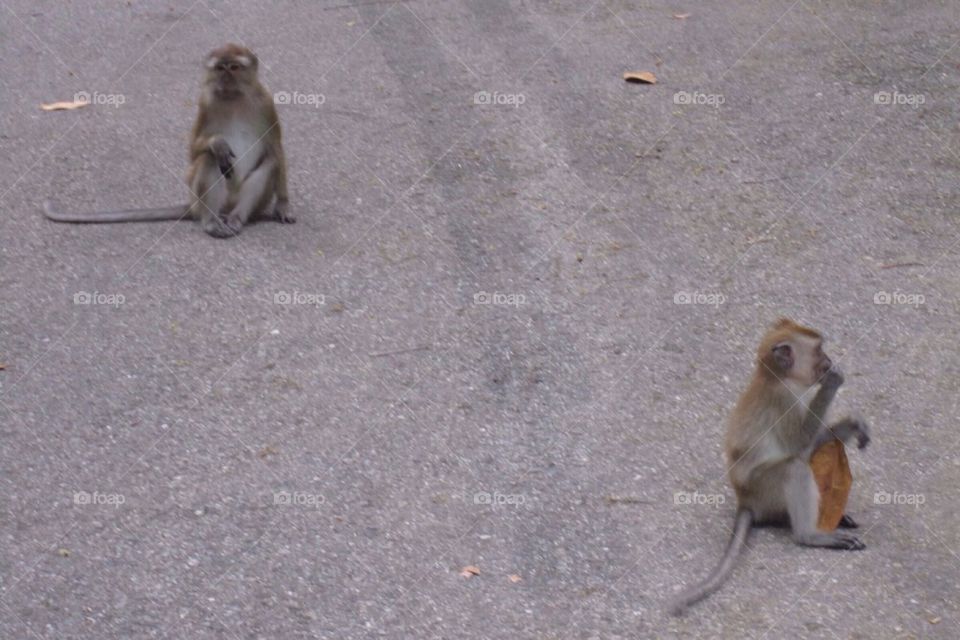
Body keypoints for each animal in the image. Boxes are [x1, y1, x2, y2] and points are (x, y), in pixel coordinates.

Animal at [43, 43, 293, 238]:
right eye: (220, 68)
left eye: (234, 67)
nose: (226, 78)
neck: (234, 97)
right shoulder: (205, 102)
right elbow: (194, 151)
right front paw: (217, 143)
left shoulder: (266, 102)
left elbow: (276, 148)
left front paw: (283, 205)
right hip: (197, 197)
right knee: (208, 159)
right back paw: (211, 222)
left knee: (270, 162)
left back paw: (236, 218)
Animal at [668, 318, 871, 615]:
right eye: (819, 350)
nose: (829, 360)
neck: (777, 378)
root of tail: (745, 500)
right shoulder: (784, 400)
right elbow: (799, 443)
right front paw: (833, 382)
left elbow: (812, 443)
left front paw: (854, 423)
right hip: (765, 490)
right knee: (793, 468)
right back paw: (809, 535)